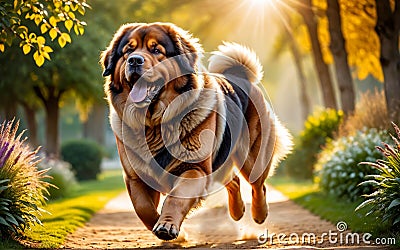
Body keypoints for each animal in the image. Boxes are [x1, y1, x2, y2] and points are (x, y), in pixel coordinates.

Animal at [101, 23, 292, 240]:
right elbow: (143, 208)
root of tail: (240, 76)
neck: (155, 124)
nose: (134, 60)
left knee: (258, 185)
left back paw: (259, 214)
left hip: (252, 157)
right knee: (234, 180)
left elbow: (176, 198)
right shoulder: (135, 177)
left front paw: (167, 225)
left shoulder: (194, 169)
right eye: (128, 51)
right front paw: (166, 228)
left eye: (156, 50)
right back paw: (237, 211)